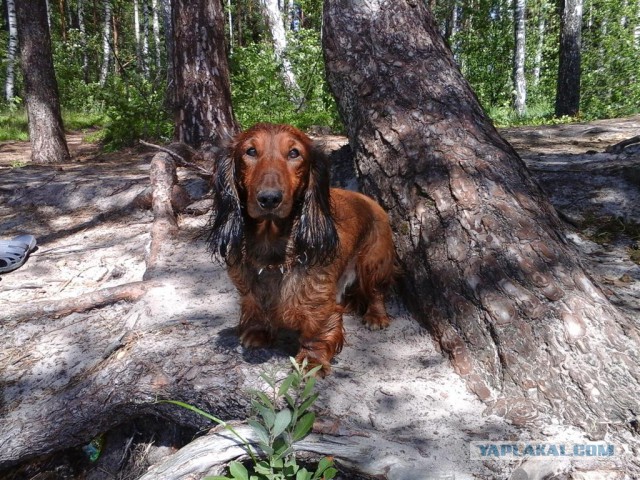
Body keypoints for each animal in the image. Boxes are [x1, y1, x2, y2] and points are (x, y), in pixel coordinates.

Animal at [210, 124, 392, 376]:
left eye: (294, 153)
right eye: (250, 151)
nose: (269, 199)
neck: (272, 250)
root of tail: (369, 200)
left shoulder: (319, 301)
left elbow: (318, 329)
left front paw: (311, 360)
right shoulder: (248, 290)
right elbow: (255, 306)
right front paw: (258, 331)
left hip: (372, 263)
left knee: (376, 291)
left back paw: (376, 316)